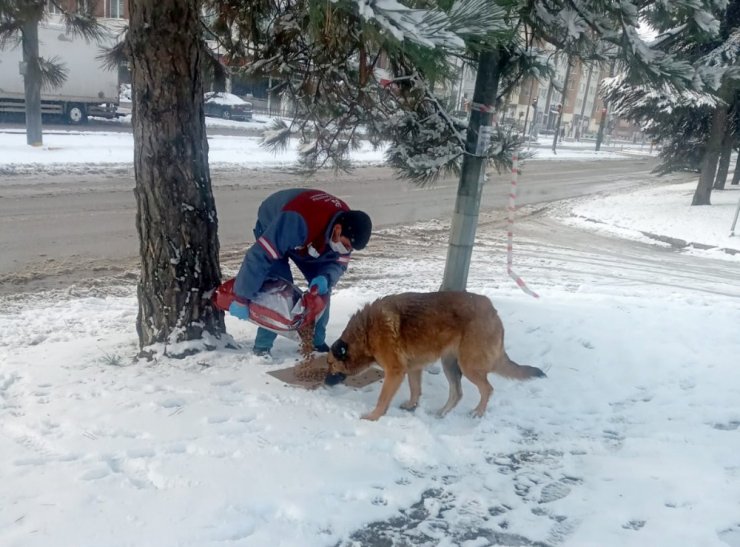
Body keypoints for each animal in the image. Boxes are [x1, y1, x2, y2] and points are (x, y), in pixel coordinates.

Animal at [328, 294, 544, 422]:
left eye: (330, 364)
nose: (325, 381)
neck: (365, 332)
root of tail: (493, 311)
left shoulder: (395, 372)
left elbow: (382, 398)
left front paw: (374, 417)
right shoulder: (413, 368)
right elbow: (415, 389)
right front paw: (412, 405)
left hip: (468, 366)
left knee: (487, 389)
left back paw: (478, 412)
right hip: (449, 364)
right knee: (457, 393)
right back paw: (442, 412)